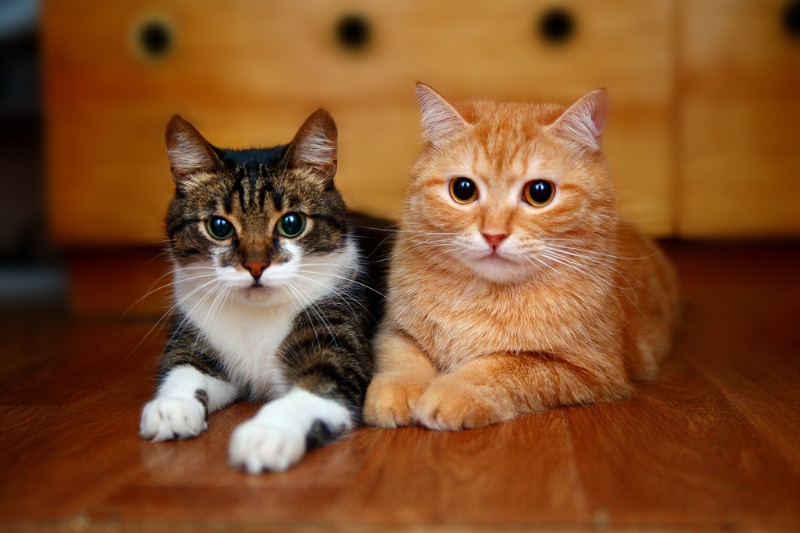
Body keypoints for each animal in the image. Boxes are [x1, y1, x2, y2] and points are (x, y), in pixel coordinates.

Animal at [141, 107, 384, 470]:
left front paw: (267, 433)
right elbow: (184, 367)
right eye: (219, 227)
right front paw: (171, 407)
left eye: (292, 223)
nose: (256, 266)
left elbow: (319, 384)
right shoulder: (193, 331)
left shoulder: (339, 340)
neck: (255, 319)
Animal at [366, 84, 680, 432]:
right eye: (463, 189)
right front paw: (397, 391)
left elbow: (501, 368)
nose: (493, 234)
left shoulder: (589, 369)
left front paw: (453, 391)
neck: (482, 297)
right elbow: (401, 360)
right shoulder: (395, 331)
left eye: (540, 192)